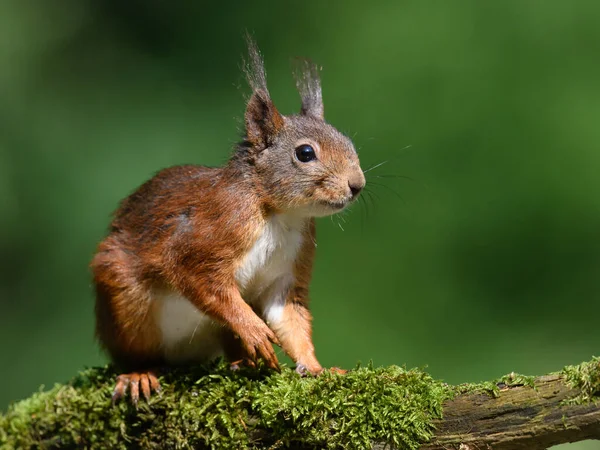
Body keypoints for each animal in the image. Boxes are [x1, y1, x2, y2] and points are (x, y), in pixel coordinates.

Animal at [91, 34, 364, 400]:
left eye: (348, 142)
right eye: (305, 153)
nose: (357, 185)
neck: (279, 215)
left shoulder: (287, 274)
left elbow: (290, 319)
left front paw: (317, 368)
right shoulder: (211, 230)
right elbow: (198, 278)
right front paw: (254, 330)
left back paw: (241, 362)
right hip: (126, 303)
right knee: (133, 351)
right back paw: (139, 373)